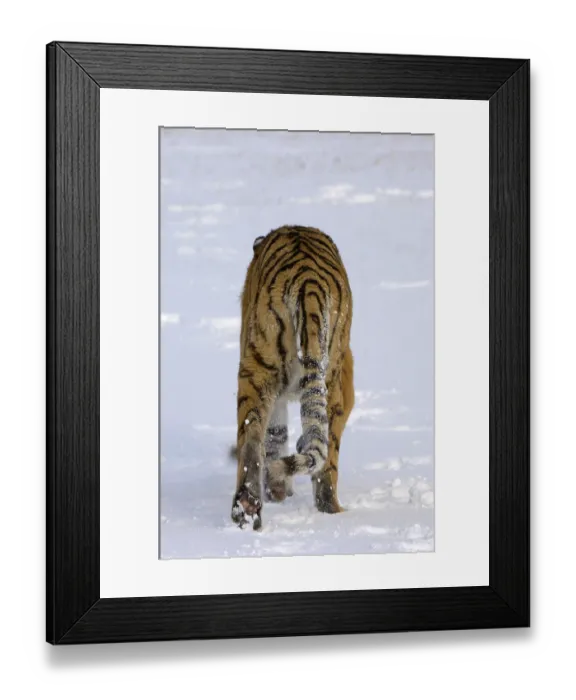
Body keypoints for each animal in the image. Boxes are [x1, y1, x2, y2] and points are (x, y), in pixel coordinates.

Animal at [231, 224, 355, 530]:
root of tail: (308, 283)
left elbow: (276, 434)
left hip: (257, 371)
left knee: (253, 441)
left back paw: (249, 506)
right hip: (319, 379)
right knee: (325, 463)